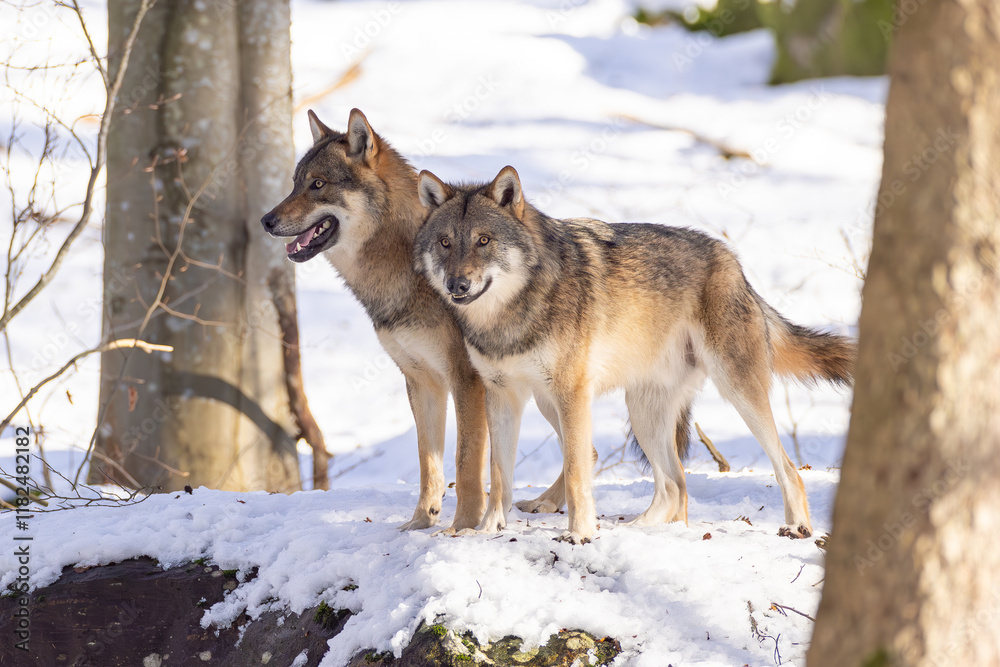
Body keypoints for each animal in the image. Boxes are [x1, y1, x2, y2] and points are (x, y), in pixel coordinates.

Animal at [260, 110, 578, 531]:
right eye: (296, 183)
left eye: (318, 185)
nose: (266, 220)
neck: (405, 270)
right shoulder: (421, 380)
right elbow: (428, 461)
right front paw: (420, 523)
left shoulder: (467, 380)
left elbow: (466, 462)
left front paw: (463, 527)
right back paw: (546, 502)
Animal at [414, 165, 856, 544]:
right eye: (445, 242)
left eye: (484, 240)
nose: (457, 285)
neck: (507, 317)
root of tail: (733, 262)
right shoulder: (501, 395)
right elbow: (499, 475)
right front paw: (487, 529)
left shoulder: (571, 394)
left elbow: (576, 472)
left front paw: (580, 534)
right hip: (632, 411)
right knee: (676, 484)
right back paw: (643, 530)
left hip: (735, 391)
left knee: (787, 468)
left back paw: (796, 527)